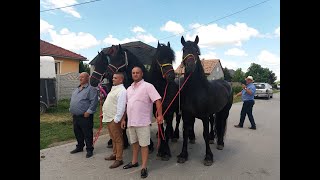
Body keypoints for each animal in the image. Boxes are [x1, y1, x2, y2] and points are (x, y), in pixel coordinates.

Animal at [176, 35, 234, 166]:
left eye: (197, 52)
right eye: (184, 50)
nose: (190, 66)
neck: (196, 91)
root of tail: (226, 83)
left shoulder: (204, 117)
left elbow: (205, 135)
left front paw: (208, 157)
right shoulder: (187, 115)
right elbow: (185, 133)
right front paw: (183, 155)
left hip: (225, 111)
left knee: (222, 123)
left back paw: (220, 143)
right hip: (214, 112)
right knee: (214, 122)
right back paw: (214, 139)